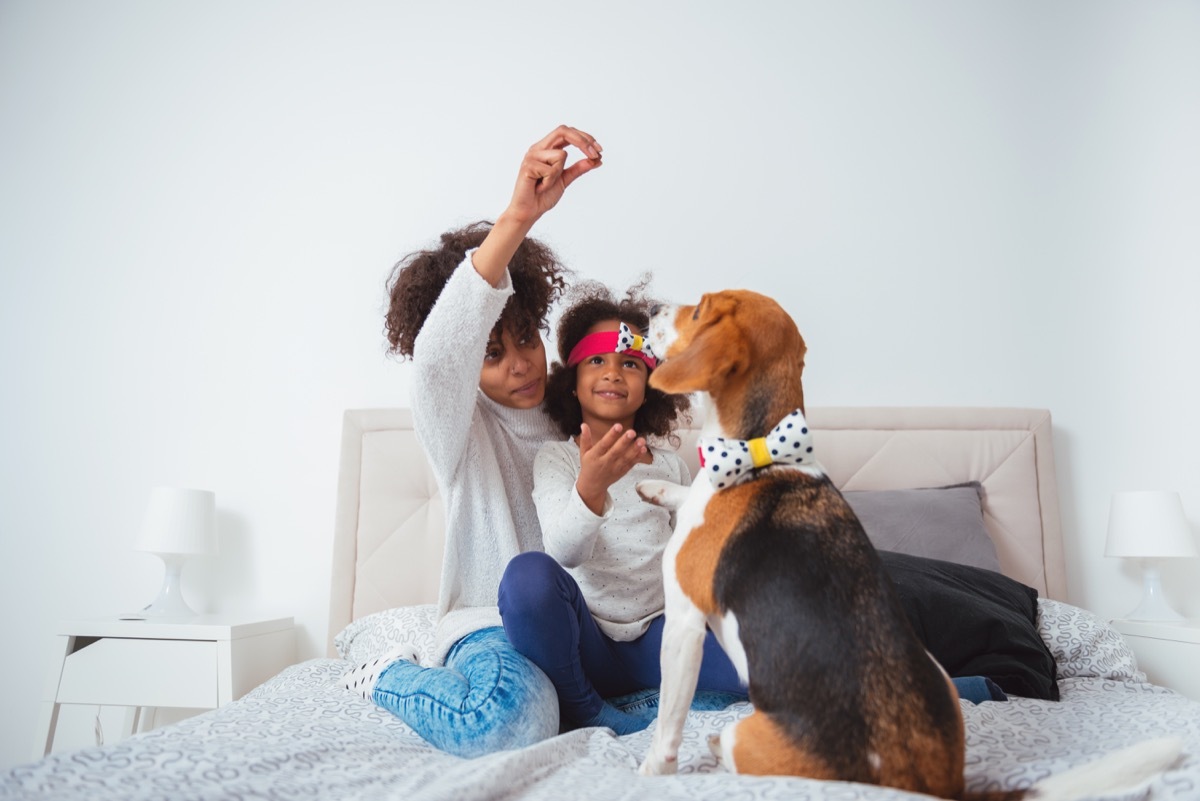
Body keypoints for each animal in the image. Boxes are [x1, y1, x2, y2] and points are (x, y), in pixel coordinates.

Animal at [638, 291, 1180, 796]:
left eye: (698, 311)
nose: (650, 311)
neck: (761, 453)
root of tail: (934, 785)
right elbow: (685, 493)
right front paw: (654, 487)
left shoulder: (684, 622)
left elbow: (668, 718)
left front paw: (653, 771)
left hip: (748, 735)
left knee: (728, 744)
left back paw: (712, 744)